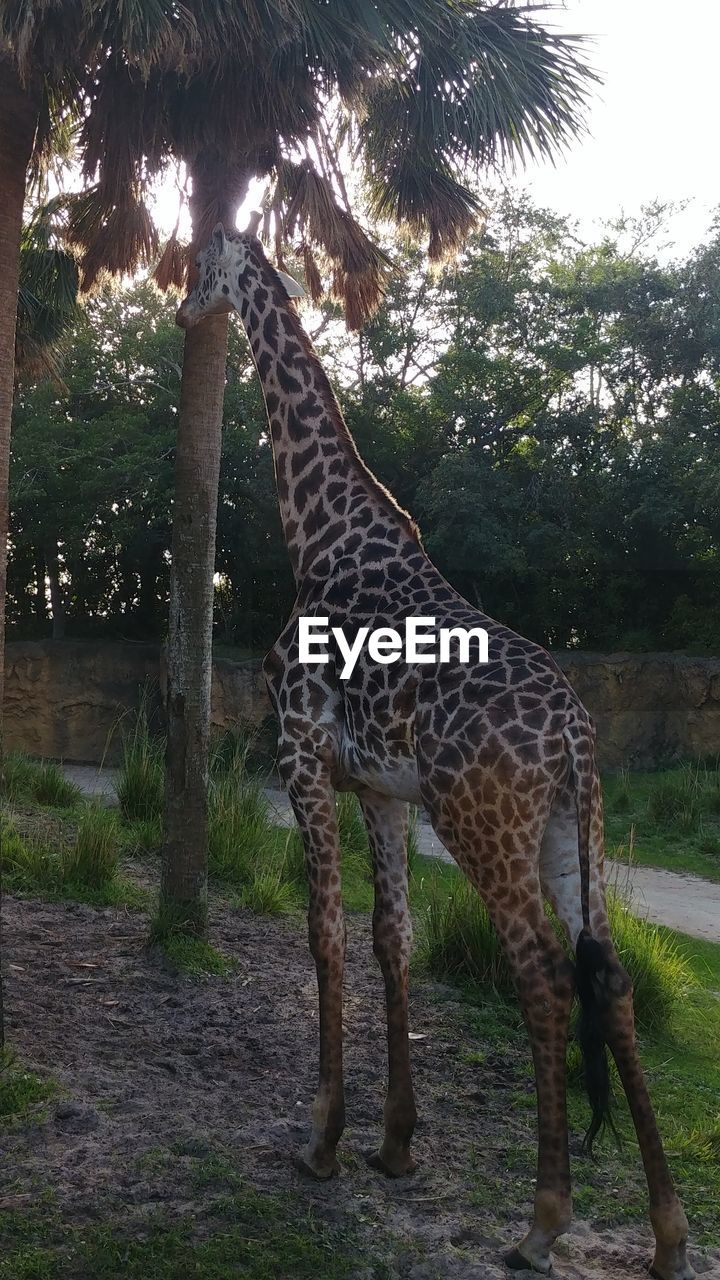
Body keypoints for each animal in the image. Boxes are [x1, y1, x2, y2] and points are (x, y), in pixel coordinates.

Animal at [174, 222, 691, 1280]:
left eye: (196, 260)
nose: (175, 311)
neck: (318, 534)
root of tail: (573, 733)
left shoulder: (300, 759)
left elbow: (325, 934)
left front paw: (324, 1139)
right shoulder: (381, 790)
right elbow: (391, 937)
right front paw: (397, 1144)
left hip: (481, 822)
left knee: (542, 973)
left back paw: (542, 1221)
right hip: (569, 827)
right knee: (612, 979)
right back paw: (666, 1234)